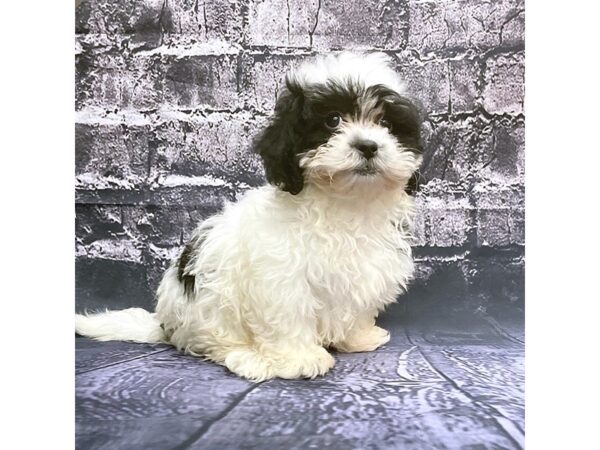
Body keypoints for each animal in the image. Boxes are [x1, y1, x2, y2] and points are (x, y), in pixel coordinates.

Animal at [75, 53, 422, 384]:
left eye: (386, 123)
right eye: (332, 120)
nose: (368, 146)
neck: (347, 204)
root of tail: (164, 323)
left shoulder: (368, 270)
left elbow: (357, 307)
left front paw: (359, 337)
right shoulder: (282, 279)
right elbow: (290, 317)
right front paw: (300, 359)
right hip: (210, 305)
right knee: (213, 343)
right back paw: (248, 358)